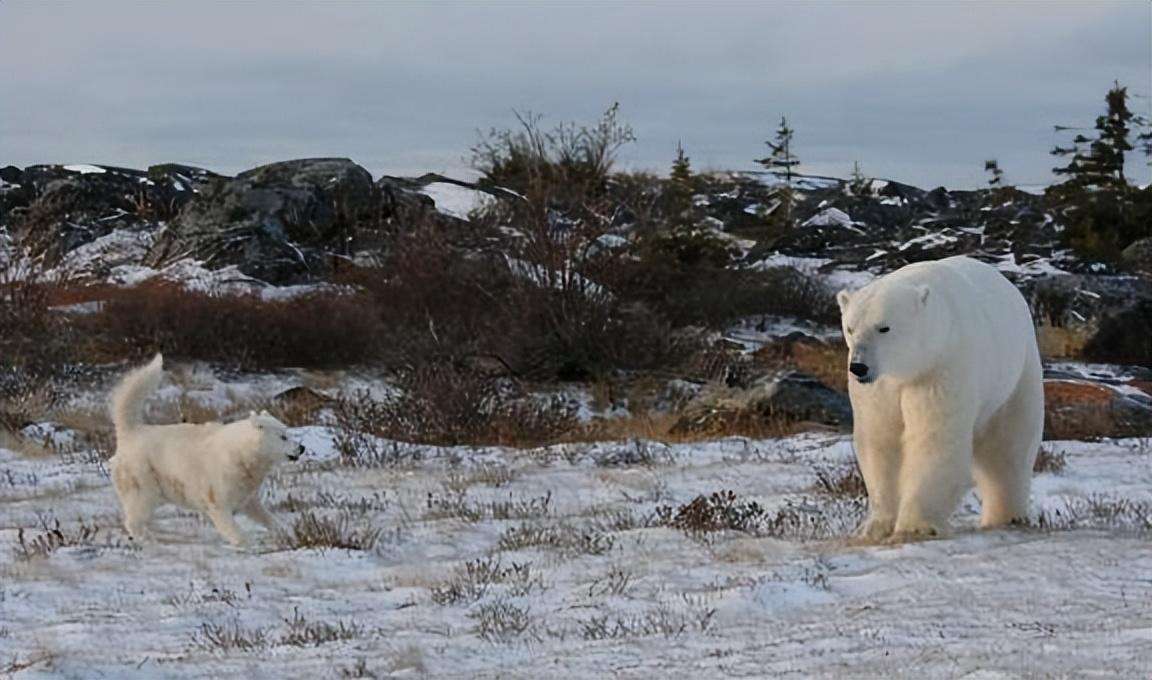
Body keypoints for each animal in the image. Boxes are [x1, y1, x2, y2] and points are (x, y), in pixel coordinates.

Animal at [107, 354, 301, 546]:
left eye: (286, 431)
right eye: (283, 437)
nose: (301, 448)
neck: (242, 454)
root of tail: (131, 432)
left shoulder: (246, 496)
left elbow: (265, 515)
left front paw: (285, 531)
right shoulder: (218, 497)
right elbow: (228, 523)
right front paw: (246, 542)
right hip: (142, 481)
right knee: (135, 515)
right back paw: (149, 539)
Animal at [838, 255, 1046, 544]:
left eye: (884, 328)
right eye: (850, 328)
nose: (858, 367)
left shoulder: (942, 368)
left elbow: (934, 438)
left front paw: (914, 526)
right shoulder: (880, 388)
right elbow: (880, 438)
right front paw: (875, 526)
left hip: (1015, 376)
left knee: (1009, 445)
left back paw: (1005, 515)